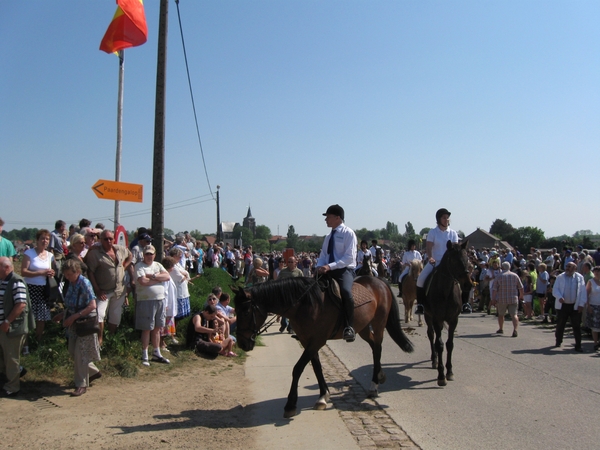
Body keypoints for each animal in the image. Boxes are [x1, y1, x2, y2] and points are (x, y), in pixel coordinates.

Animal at [232, 276, 414, 420]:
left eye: (246, 311)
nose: (241, 343)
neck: (305, 304)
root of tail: (379, 281)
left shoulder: (317, 341)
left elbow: (298, 368)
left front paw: (290, 405)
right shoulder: (308, 341)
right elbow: (317, 367)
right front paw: (323, 396)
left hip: (378, 323)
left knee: (377, 348)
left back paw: (374, 385)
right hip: (362, 327)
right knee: (374, 346)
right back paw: (380, 376)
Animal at [424, 239, 472, 386]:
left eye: (467, 259)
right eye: (454, 261)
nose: (468, 285)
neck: (446, 291)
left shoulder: (453, 320)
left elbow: (450, 344)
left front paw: (449, 372)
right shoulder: (437, 319)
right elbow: (439, 345)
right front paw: (441, 376)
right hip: (427, 316)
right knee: (431, 335)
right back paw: (434, 359)